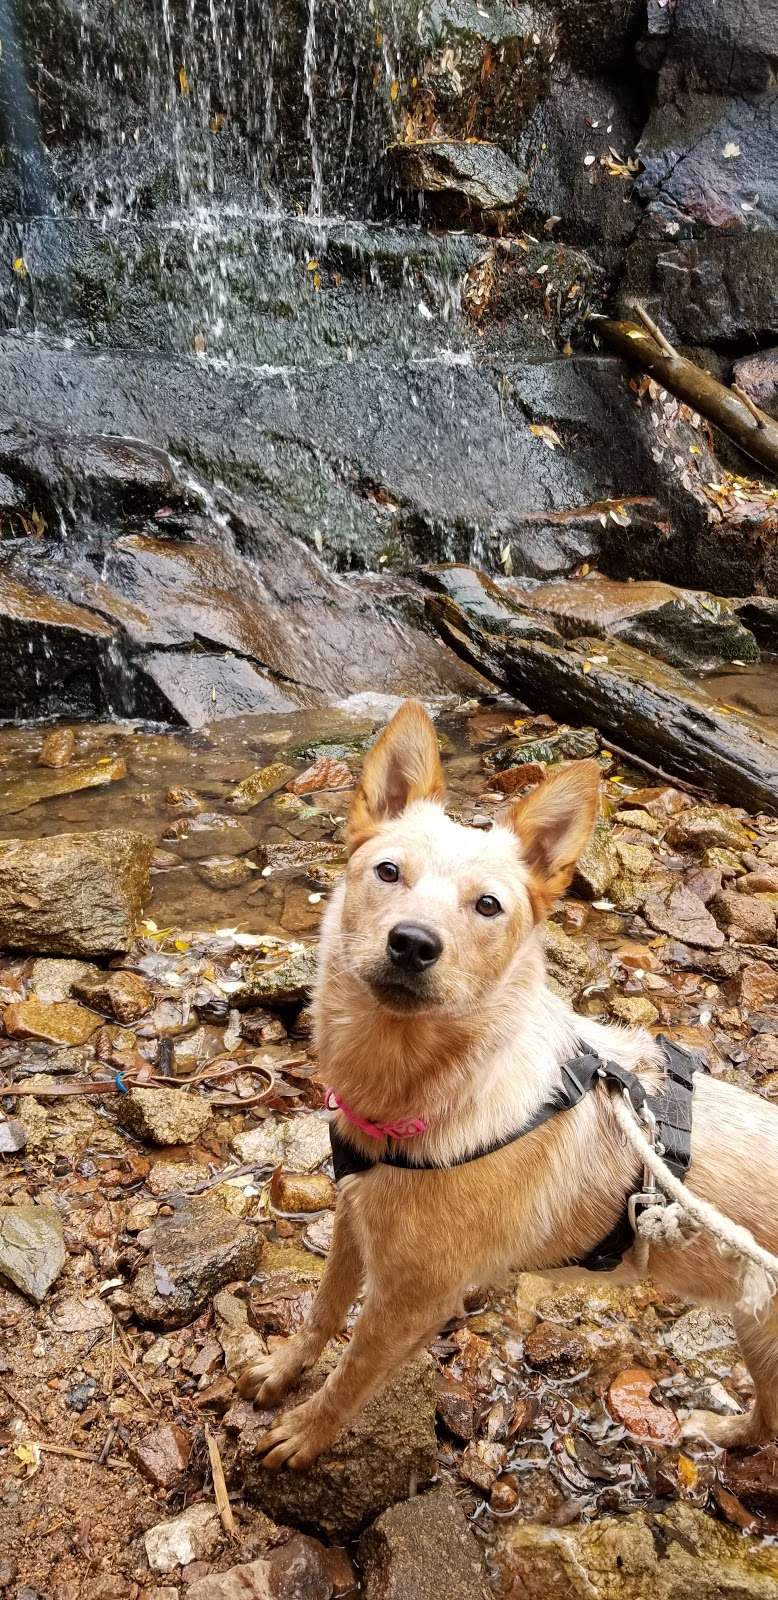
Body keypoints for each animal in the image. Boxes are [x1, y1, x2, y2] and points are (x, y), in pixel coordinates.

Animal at [238, 707, 778, 1465]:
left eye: (488, 906)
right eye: (388, 871)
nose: (413, 942)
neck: (423, 1092)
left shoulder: (413, 1299)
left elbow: (352, 1373)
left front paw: (309, 1432)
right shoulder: (352, 1220)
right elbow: (321, 1312)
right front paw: (284, 1371)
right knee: (769, 1421)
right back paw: (724, 1434)